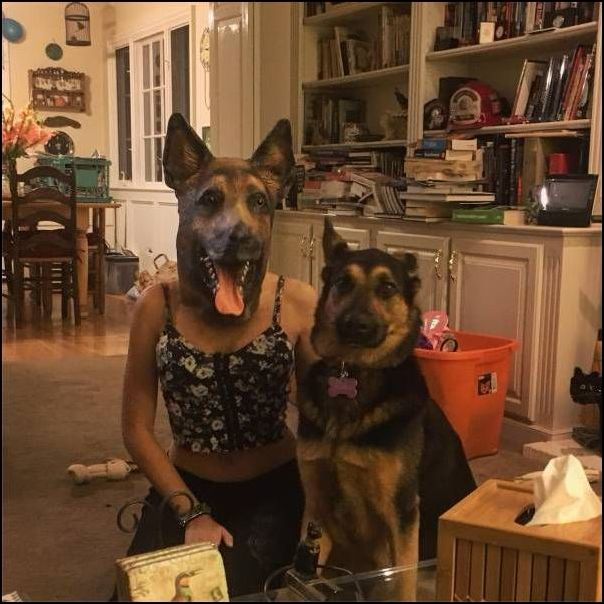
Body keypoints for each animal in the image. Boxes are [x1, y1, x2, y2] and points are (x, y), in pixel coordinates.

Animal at [297, 217, 476, 598]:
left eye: (388, 288)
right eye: (343, 282)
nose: (356, 326)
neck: (351, 373)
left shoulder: (401, 515)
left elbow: (403, 582)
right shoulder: (315, 510)